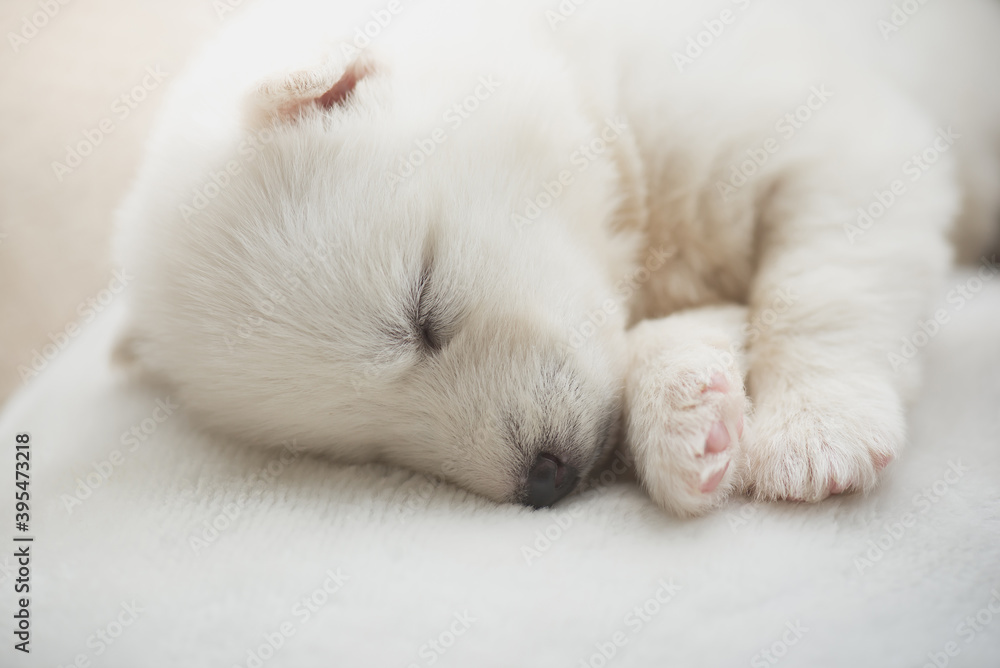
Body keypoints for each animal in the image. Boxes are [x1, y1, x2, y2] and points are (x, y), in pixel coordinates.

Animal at [111, 0, 1000, 516]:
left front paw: (817, 430)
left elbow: (820, 284)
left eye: (422, 311)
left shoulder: (821, 129)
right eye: (362, 447)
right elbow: (681, 330)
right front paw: (688, 420)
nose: (545, 481)